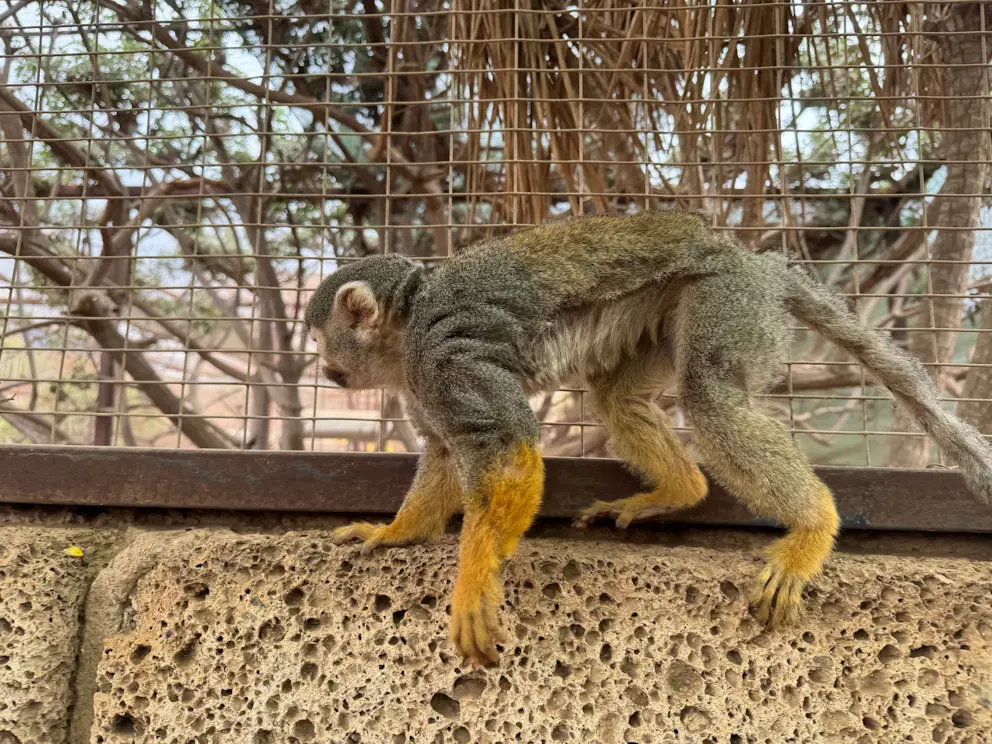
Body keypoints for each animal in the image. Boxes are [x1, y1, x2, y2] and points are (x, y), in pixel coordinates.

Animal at [304, 211, 992, 667]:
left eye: (318, 337)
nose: (325, 368)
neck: (406, 330)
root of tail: (752, 258)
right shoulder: (422, 380)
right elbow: (447, 451)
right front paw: (397, 533)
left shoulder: (443, 357)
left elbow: (509, 448)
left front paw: (474, 586)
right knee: (619, 396)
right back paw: (681, 491)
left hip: (726, 296)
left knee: (710, 393)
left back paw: (813, 526)